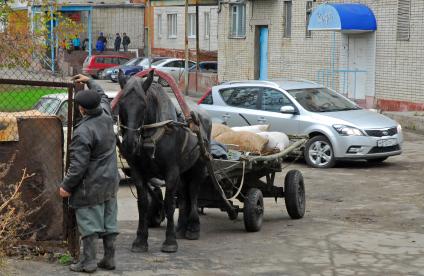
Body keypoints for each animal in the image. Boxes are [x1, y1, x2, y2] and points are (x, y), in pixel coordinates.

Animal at [117, 72, 211, 253]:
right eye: (121, 104)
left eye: (143, 105)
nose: (129, 143)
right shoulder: (138, 172)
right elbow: (142, 204)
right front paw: (140, 240)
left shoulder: (171, 171)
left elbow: (169, 204)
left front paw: (170, 241)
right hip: (183, 171)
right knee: (183, 195)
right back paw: (180, 228)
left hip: (199, 166)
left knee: (193, 192)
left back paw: (193, 228)